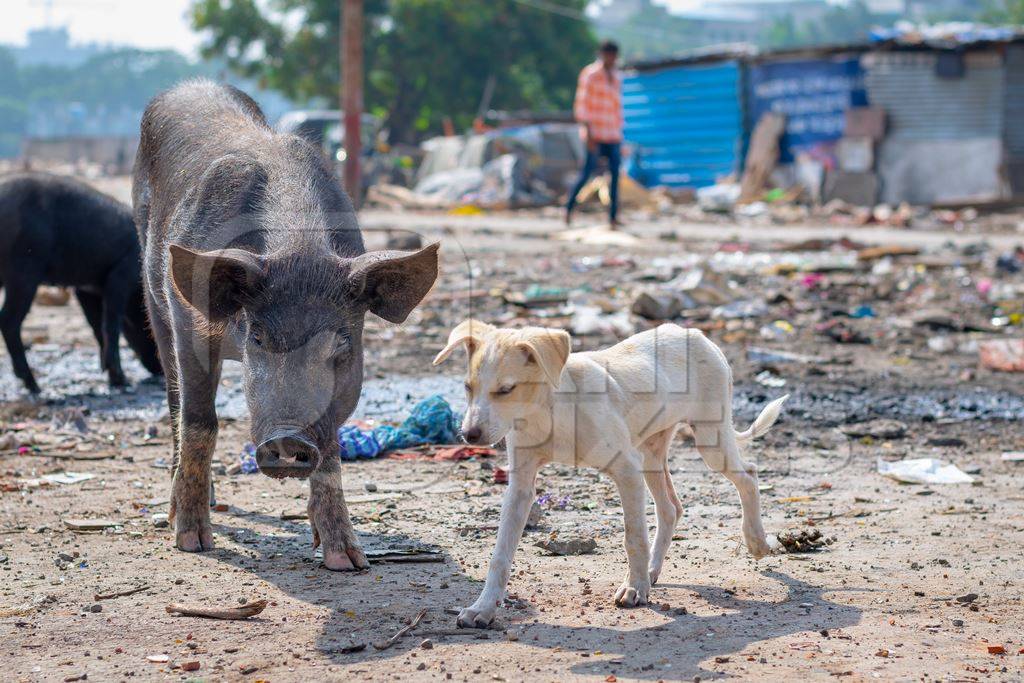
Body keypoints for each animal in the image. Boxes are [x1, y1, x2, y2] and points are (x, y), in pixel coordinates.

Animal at [132, 80, 436, 569]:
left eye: (340, 347)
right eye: (258, 338)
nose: (289, 439)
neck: (299, 248)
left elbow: (331, 447)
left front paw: (348, 560)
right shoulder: (189, 322)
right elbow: (200, 422)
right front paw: (193, 542)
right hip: (153, 296)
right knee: (174, 400)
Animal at [430, 321, 782, 630]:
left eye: (506, 389)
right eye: (467, 387)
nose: (468, 435)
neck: (549, 410)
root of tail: (695, 333)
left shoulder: (625, 469)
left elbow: (633, 536)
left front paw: (635, 588)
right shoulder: (520, 488)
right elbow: (500, 555)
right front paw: (483, 608)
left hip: (709, 440)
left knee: (748, 476)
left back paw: (755, 541)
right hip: (650, 452)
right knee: (671, 508)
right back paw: (653, 569)